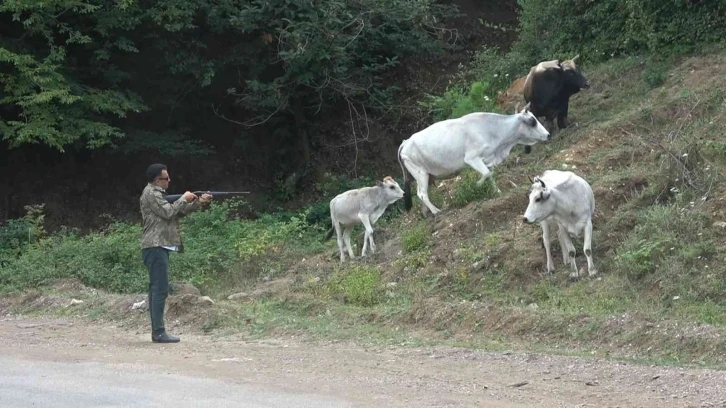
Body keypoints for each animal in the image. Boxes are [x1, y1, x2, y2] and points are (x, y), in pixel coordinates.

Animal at [398, 103, 552, 215]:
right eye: (532, 121)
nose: (548, 135)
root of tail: (405, 142)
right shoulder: (472, 159)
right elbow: (486, 174)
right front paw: (477, 186)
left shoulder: (487, 159)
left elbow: (490, 174)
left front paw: (497, 191)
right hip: (421, 173)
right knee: (422, 194)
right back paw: (436, 211)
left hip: (426, 176)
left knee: (421, 195)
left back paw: (426, 213)